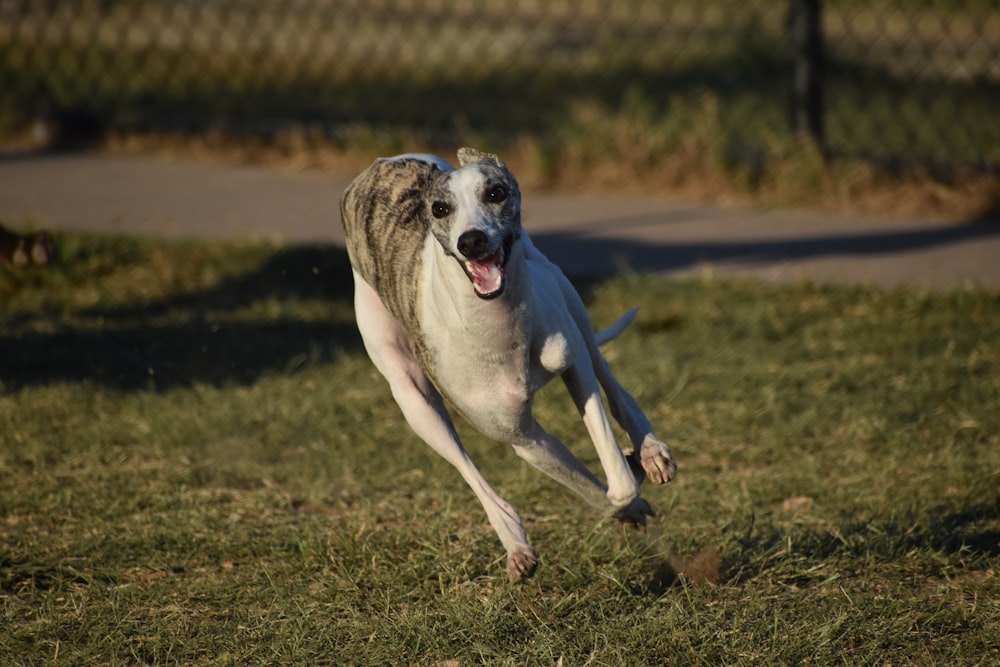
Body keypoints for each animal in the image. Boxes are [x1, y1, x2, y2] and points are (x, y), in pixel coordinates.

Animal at [340, 149, 676, 580]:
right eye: (440, 208)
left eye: (495, 193)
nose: (471, 241)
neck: (499, 328)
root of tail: (383, 161)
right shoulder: (522, 437)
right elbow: (595, 487)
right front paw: (627, 504)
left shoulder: (573, 365)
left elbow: (617, 482)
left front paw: (635, 472)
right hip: (412, 397)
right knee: (466, 465)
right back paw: (515, 543)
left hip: (565, 295)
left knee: (612, 382)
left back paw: (649, 450)